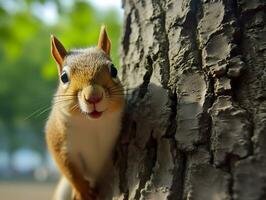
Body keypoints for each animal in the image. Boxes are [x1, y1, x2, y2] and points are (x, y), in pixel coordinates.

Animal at [45, 25, 124, 199]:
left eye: (114, 70)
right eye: (64, 77)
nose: (93, 96)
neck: (91, 125)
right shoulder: (58, 141)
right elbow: (70, 171)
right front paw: (83, 192)